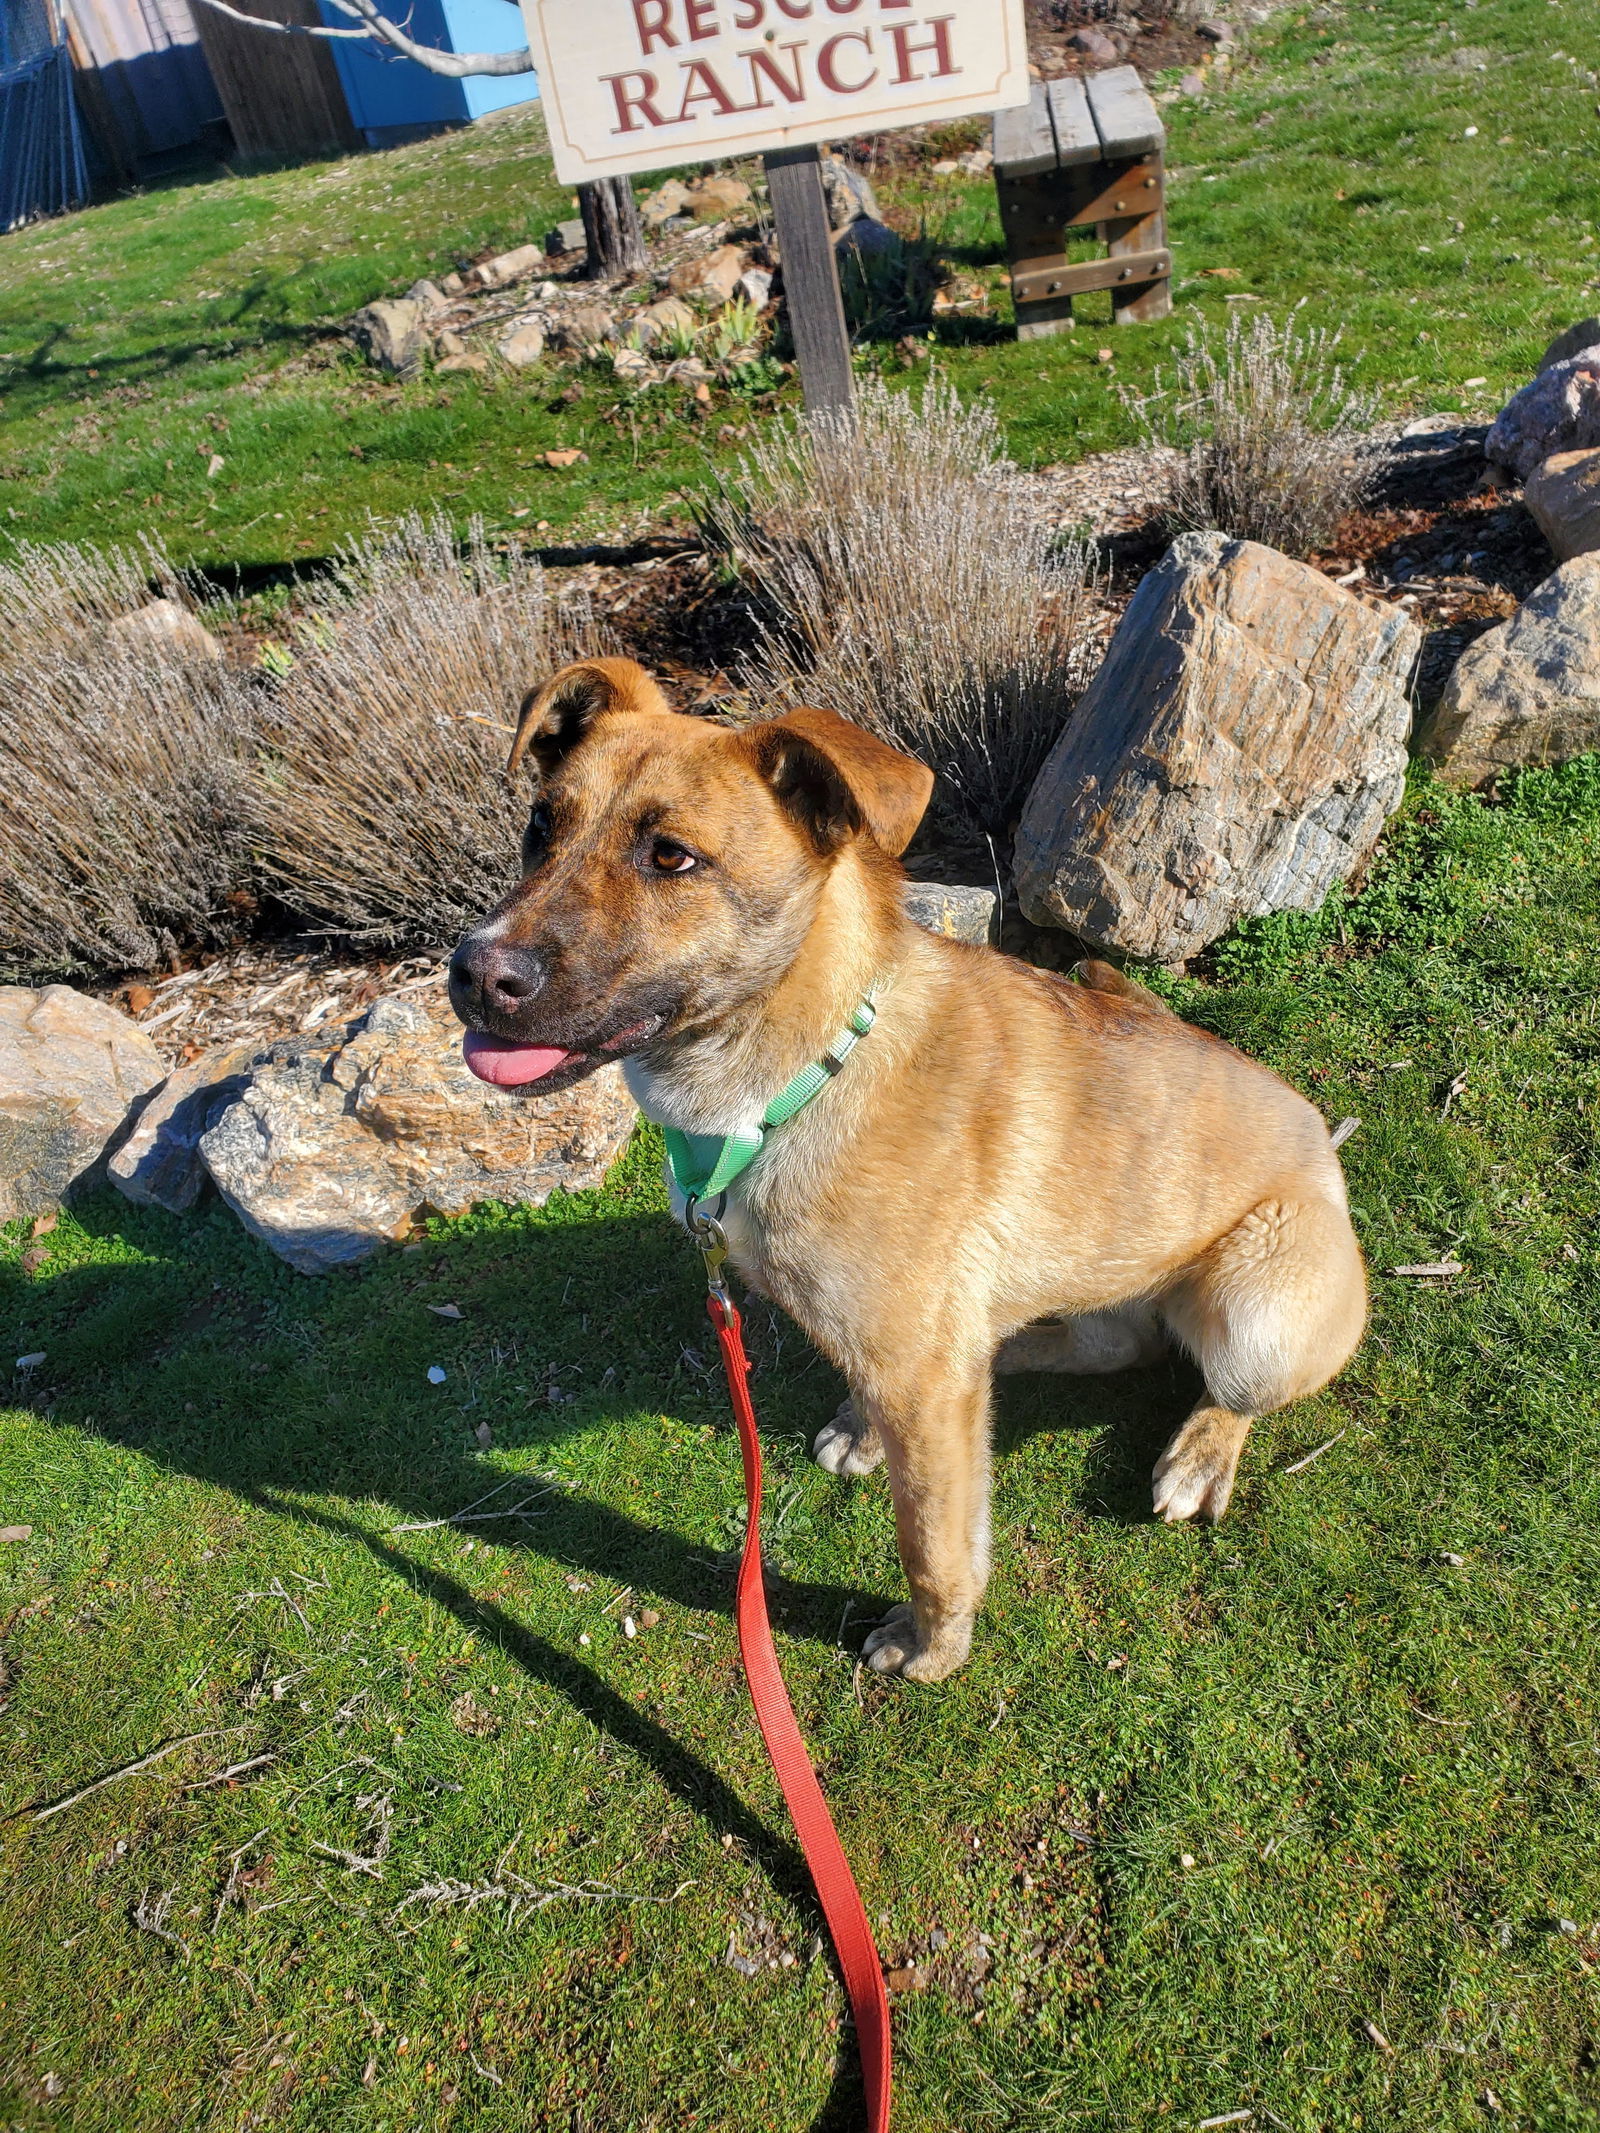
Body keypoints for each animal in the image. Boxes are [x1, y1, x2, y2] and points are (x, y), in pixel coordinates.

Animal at [452, 648, 1365, 1680]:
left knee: (1222, 1388)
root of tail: (1320, 1138)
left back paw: (1201, 1452)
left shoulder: (923, 1388)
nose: (474, 973)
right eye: (541, 825)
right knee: (1104, 1344)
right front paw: (862, 1423)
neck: (799, 1074)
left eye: (672, 856)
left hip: (1258, 1312)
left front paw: (933, 1646)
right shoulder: (906, 1362)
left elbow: (933, 1542)